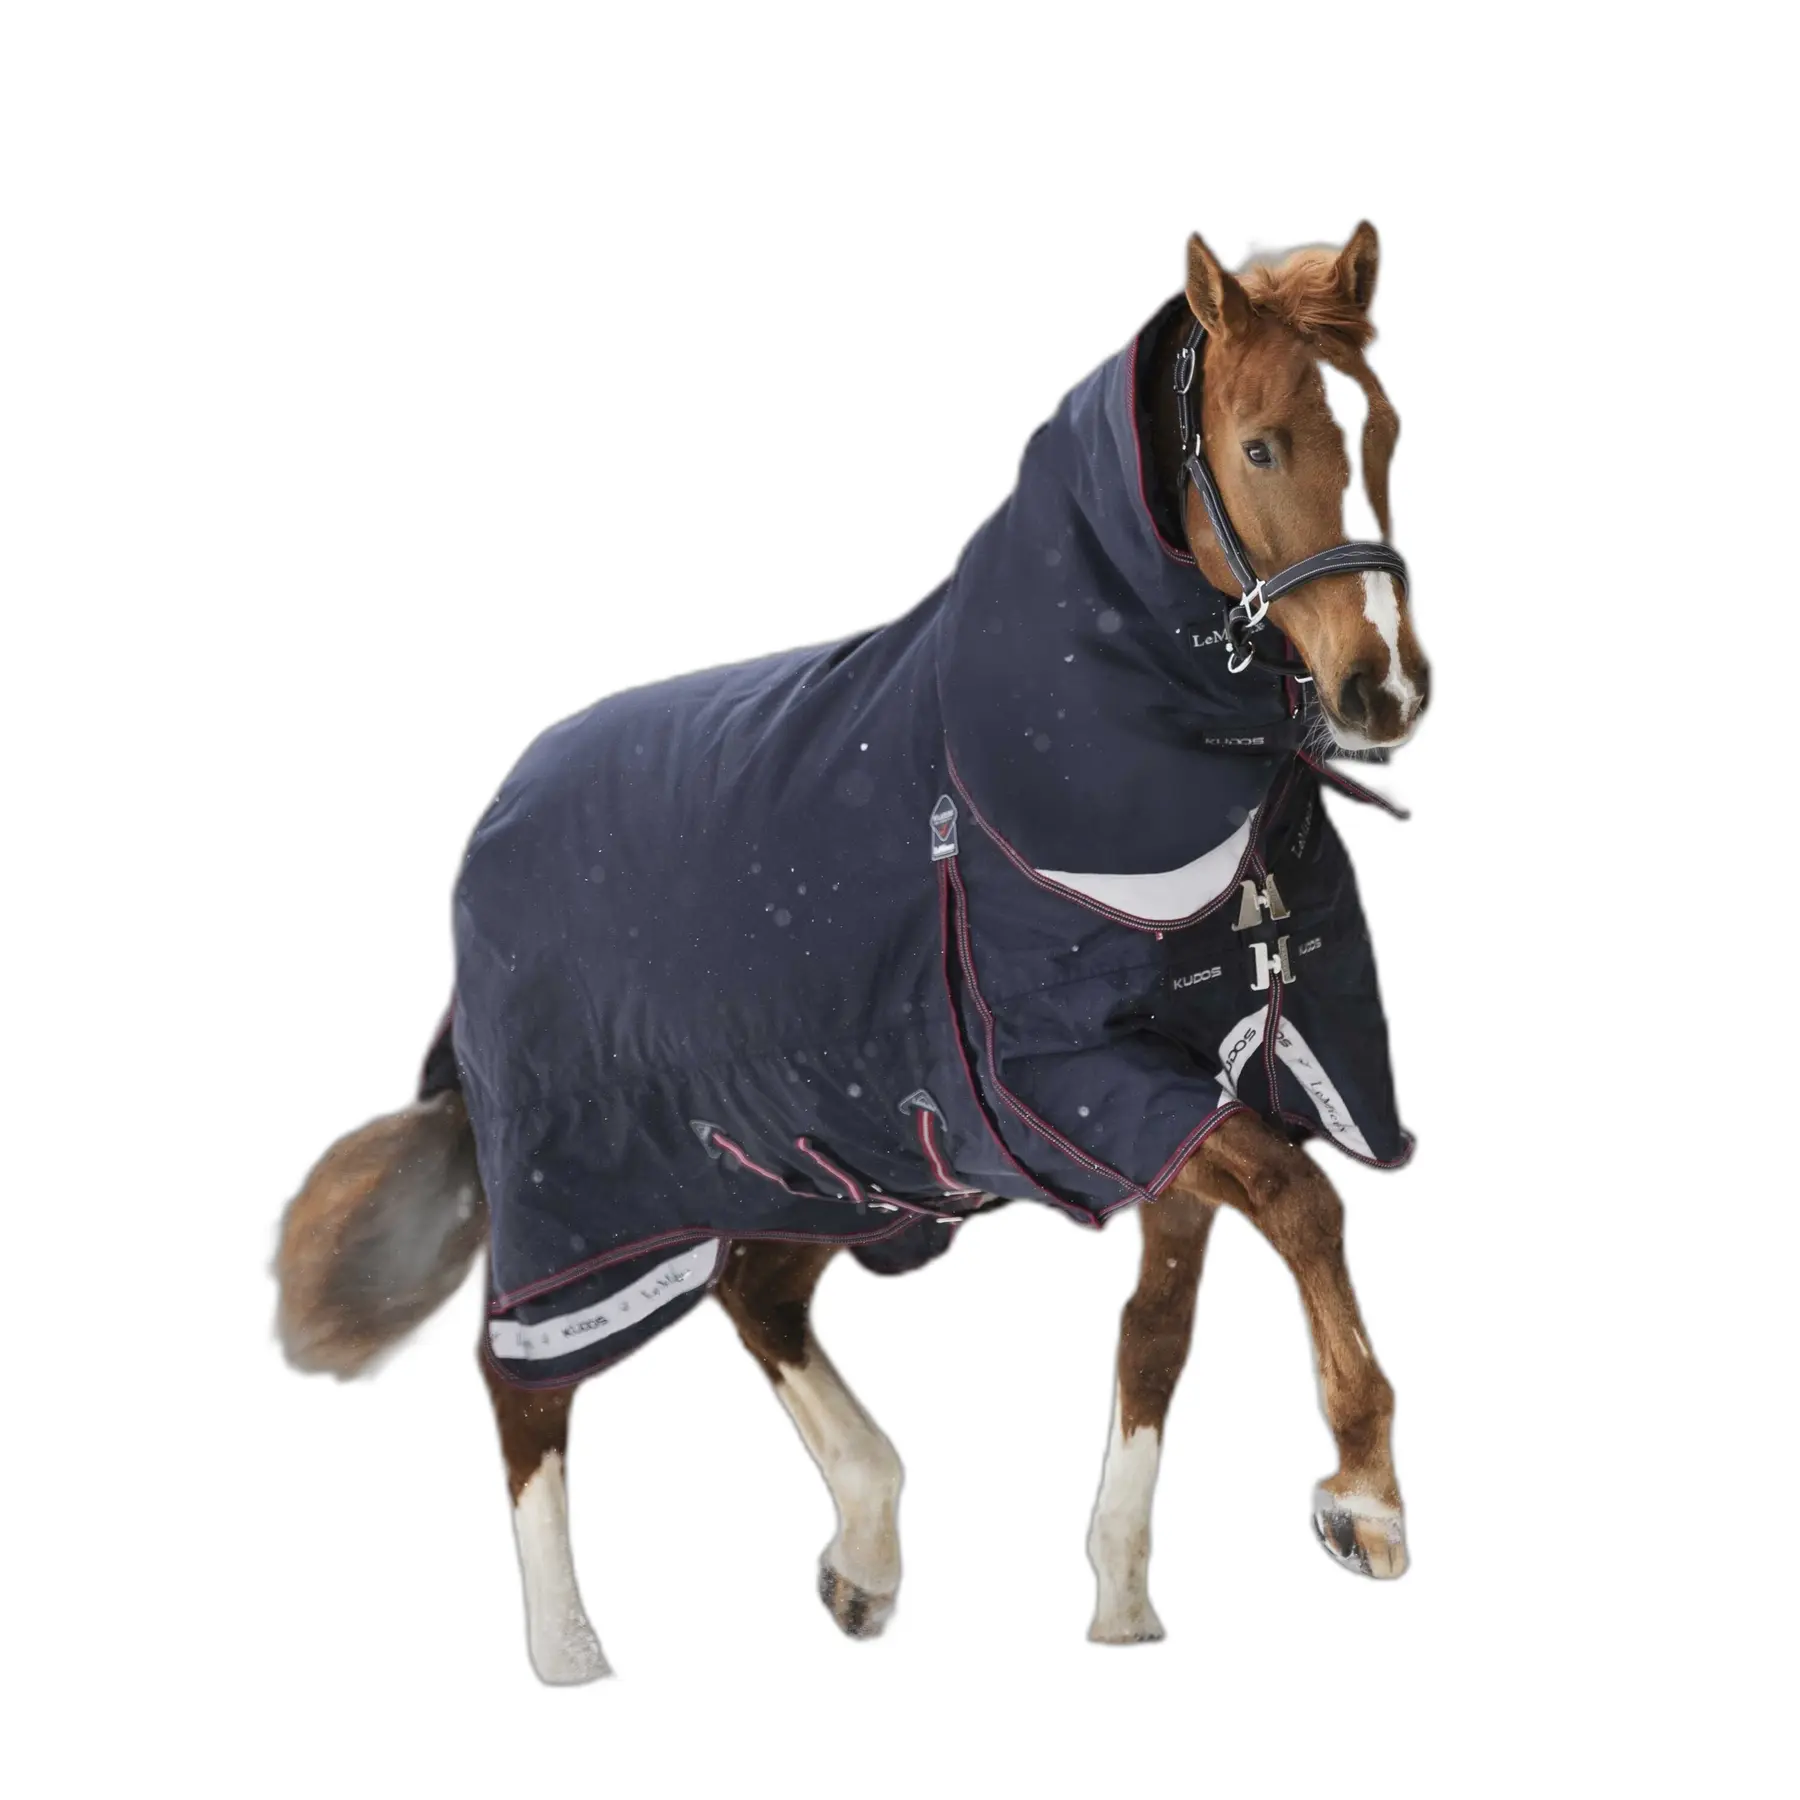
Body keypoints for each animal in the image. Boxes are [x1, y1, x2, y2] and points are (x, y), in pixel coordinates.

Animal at [276, 222, 1430, 1683]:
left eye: (1384, 426)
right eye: (1263, 446)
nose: (1384, 692)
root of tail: (494, 820)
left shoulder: (1203, 1094)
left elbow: (1157, 1337)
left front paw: (1121, 1603)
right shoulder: (1092, 1086)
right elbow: (1307, 1206)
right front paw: (1364, 1507)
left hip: (831, 1168)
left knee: (757, 1299)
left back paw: (864, 1559)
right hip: (587, 1203)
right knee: (523, 1386)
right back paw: (572, 1654)